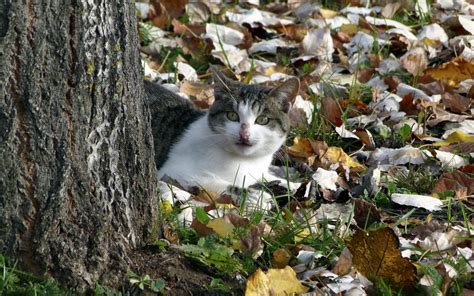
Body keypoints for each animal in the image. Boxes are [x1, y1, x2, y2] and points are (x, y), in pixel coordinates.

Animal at [145, 66, 300, 193]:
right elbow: (227, 186)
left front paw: (292, 185)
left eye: (262, 120)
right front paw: (257, 196)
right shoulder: (173, 173)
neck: (243, 162)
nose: (244, 134)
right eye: (232, 115)